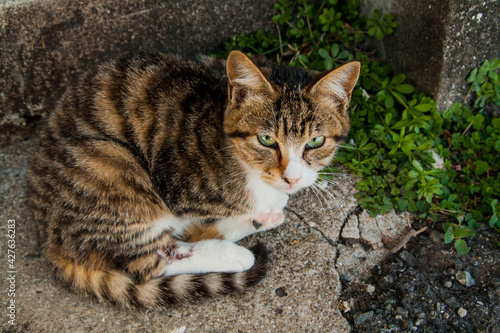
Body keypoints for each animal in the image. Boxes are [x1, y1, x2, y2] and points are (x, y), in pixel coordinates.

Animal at [27, 50, 360, 308]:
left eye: (315, 141)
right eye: (266, 139)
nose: (291, 178)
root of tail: (47, 240)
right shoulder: (173, 185)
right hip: (111, 166)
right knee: (151, 261)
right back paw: (236, 253)